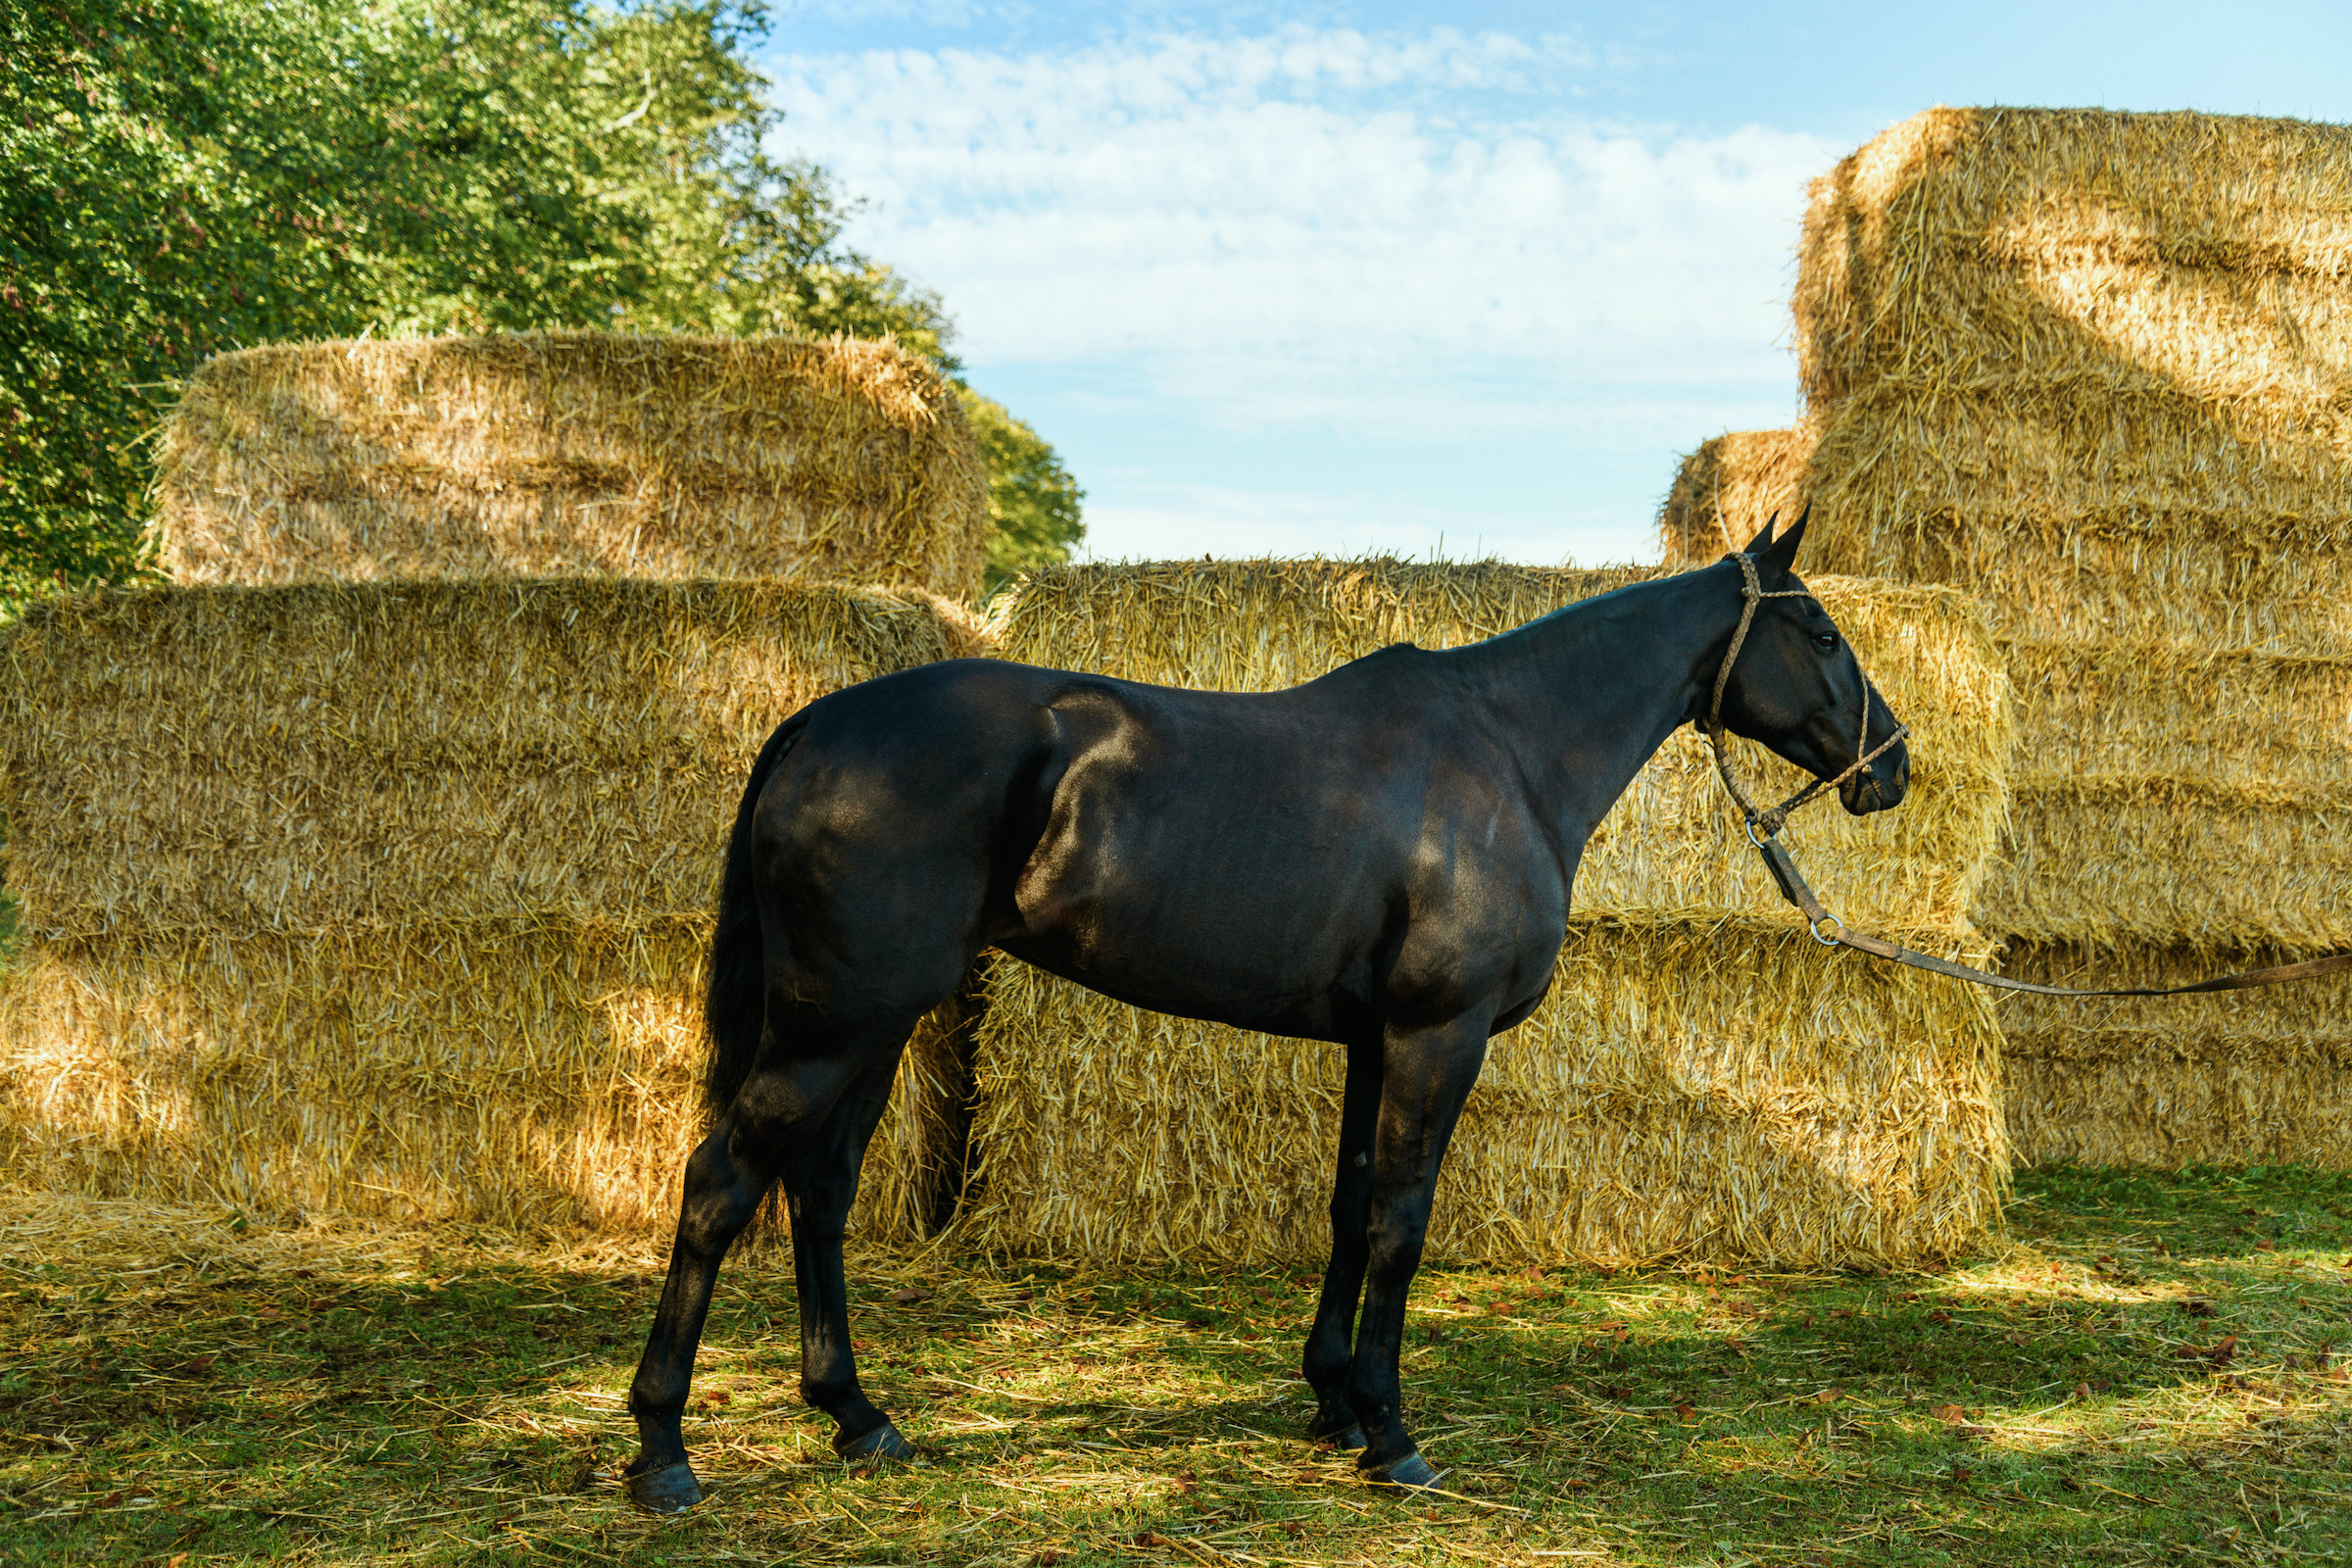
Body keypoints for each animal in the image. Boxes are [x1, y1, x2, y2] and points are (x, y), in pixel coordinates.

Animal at [622, 514, 1909, 1510]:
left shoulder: (1374, 1040)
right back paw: (663, 1450)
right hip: (833, 1023)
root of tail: (813, 724)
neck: (1506, 752)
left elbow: (1351, 1209)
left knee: (820, 1189)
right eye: (1823, 633)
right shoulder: (1436, 1036)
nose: (1894, 767)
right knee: (721, 1183)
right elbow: (1400, 1222)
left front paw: (1334, 1401)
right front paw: (1392, 1434)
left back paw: (857, 1415)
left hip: (871, 1027)